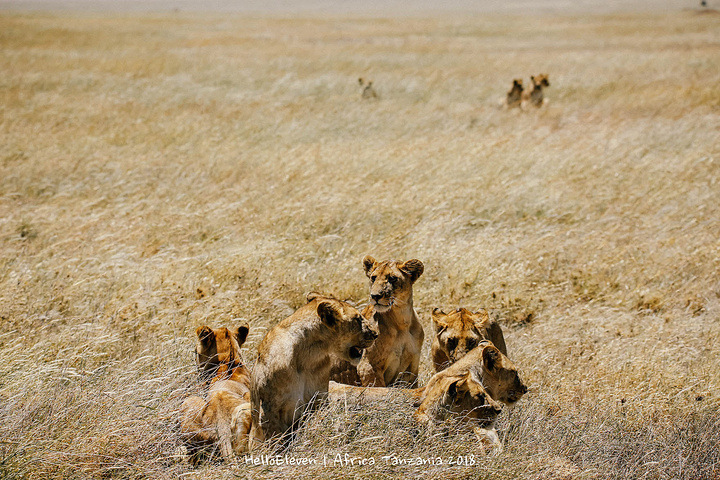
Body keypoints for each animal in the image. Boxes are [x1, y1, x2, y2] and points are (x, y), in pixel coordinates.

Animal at [250, 292, 376, 450]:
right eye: (357, 318)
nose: (375, 334)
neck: (309, 353)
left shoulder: (318, 398)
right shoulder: (270, 409)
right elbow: (276, 440)